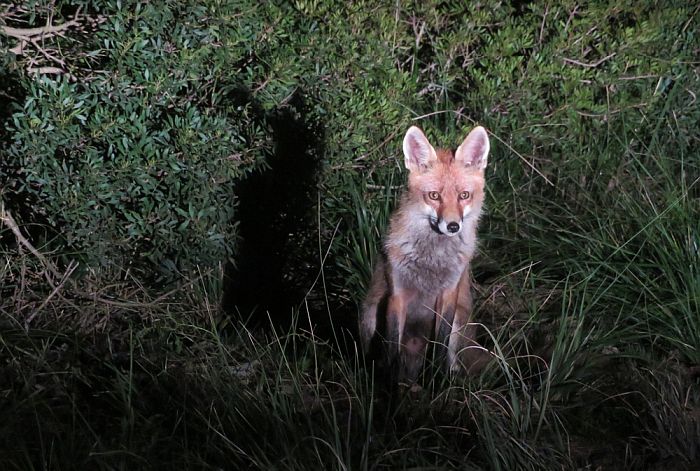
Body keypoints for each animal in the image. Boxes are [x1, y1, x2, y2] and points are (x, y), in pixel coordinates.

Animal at [360, 125, 490, 382]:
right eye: (434, 196)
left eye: (464, 196)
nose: (453, 226)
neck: (432, 261)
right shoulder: (397, 295)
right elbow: (392, 349)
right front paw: (390, 385)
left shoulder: (449, 294)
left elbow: (440, 345)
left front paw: (435, 381)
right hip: (370, 314)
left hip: (460, 321)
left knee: (454, 362)